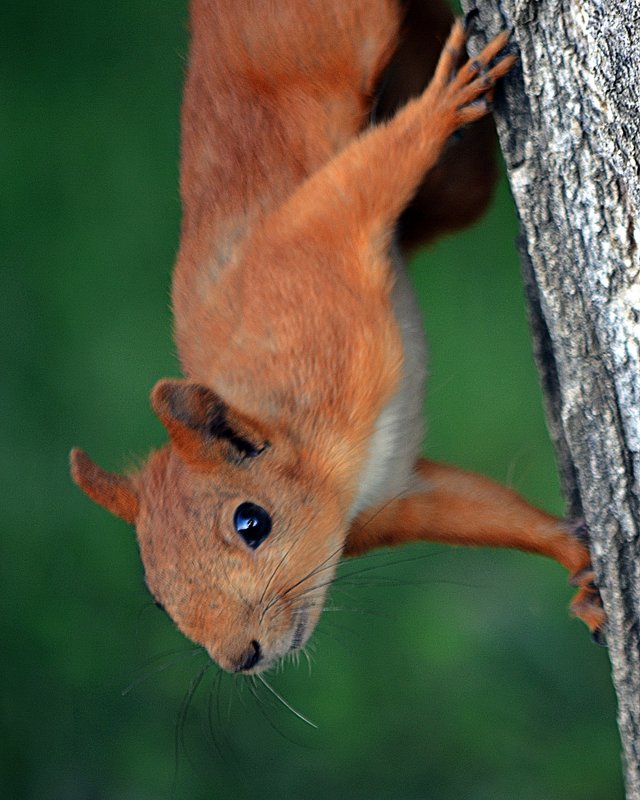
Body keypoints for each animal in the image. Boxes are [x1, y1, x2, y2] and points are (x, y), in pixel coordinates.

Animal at [70, 0, 604, 676]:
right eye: (157, 594)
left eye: (252, 522)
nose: (239, 657)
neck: (325, 453)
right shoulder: (392, 496)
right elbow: (480, 510)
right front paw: (581, 567)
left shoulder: (306, 259)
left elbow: (359, 184)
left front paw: (440, 108)